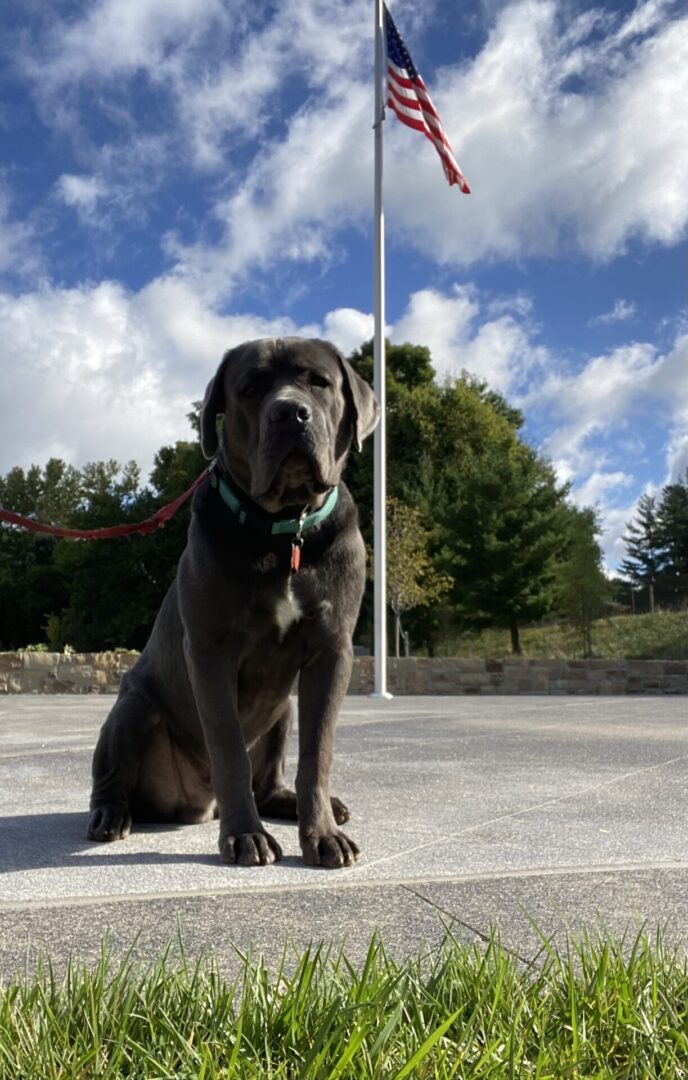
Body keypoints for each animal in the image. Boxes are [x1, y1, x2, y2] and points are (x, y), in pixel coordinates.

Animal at [86, 336, 380, 868]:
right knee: (113, 775)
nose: (289, 413)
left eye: (319, 382)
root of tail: (201, 805)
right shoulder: (210, 651)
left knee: (271, 778)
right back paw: (110, 816)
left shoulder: (332, 651)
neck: (285, 530)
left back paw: (306, 805)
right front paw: (246, 836)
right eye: (248, 389)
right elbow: (228, 747)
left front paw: (322, 834)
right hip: (131, 706)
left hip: (282, 710)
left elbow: (317, 753)